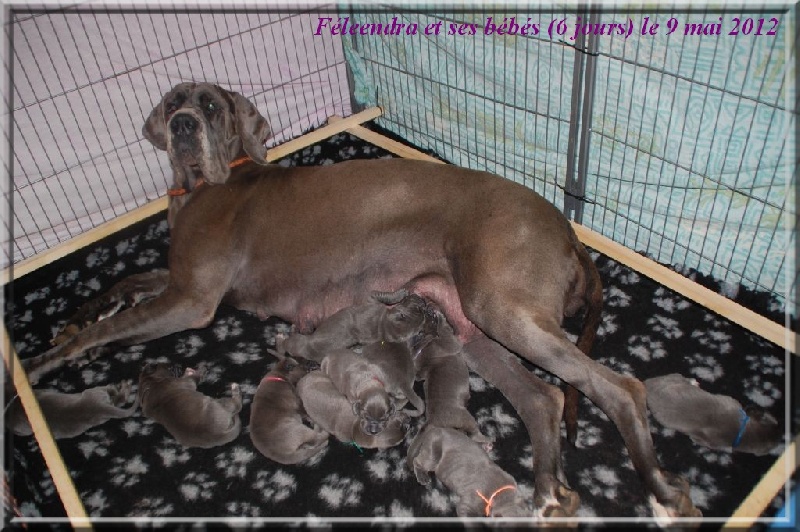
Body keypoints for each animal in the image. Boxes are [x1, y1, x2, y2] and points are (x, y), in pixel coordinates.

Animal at [416, 310, 490, 442]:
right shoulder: (448, 343)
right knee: (474, 433)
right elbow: (448, 336)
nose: (429, 310)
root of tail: (432, 420)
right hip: (465, 418)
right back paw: (487, 441)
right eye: (431, 320)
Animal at [644, 374, 780, 458]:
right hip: (674, 377)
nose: (751, 407)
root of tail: (648, 384)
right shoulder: (731, 402)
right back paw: (693, 382)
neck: (742, 432)